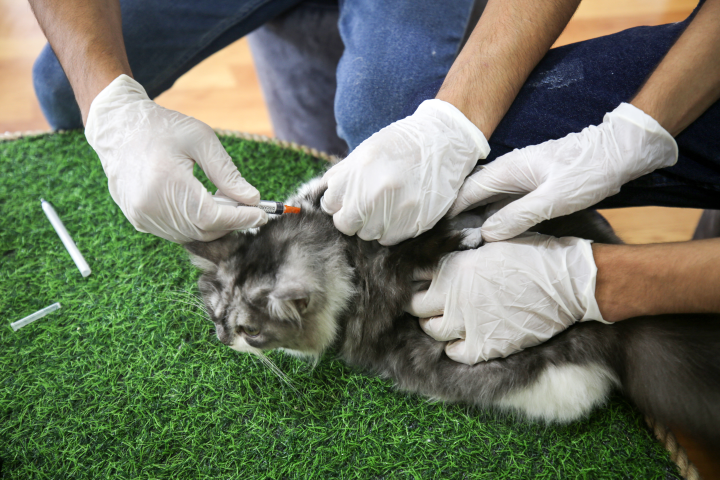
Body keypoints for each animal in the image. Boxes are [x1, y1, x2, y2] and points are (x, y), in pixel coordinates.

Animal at [184, 178, 720, 448]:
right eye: (214, 313)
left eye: (248, 330)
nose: (220, 338)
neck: (341, 252)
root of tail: (621, 331)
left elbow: (430, 246)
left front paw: (464, 242)